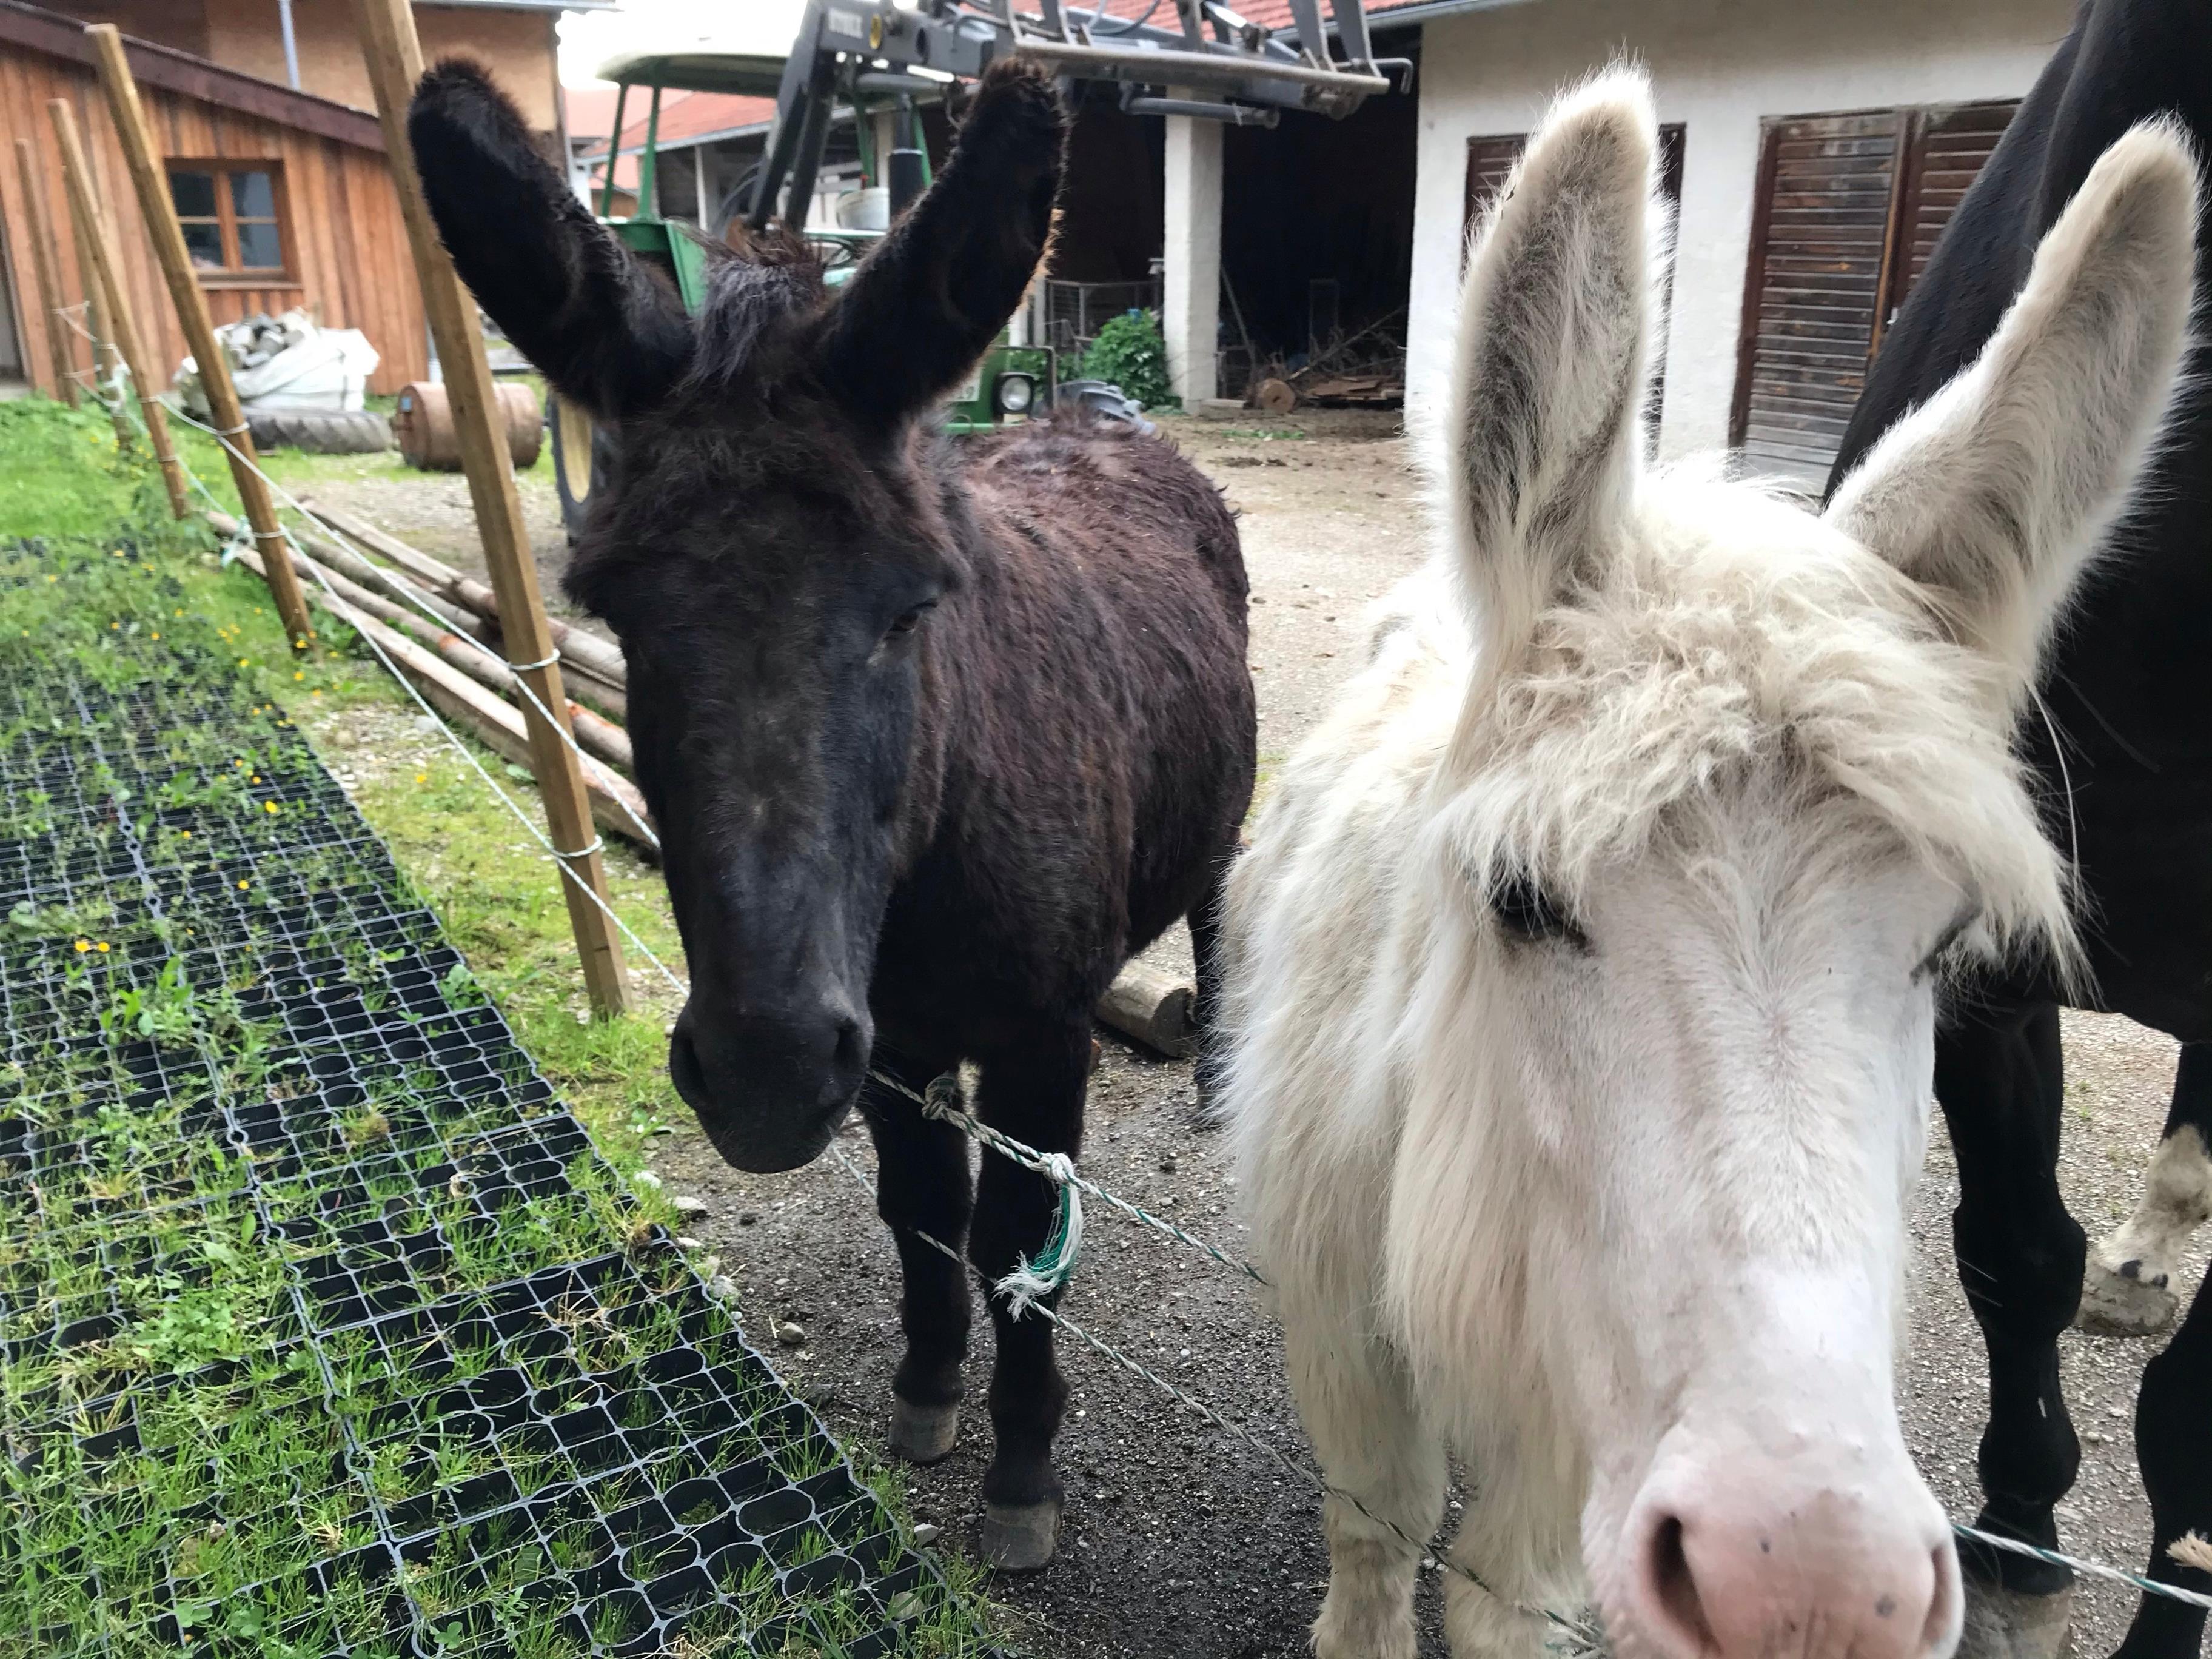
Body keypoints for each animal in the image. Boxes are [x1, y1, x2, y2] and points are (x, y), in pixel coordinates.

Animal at [406, 59, 1256, 1571]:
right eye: (610, 609)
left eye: (913, 608)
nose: (761, 1070)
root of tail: (1104, 418)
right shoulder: (892, 1043)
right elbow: (920, 1213)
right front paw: (927, 1388)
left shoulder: (1041, 1038)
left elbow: (1019, 1248)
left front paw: (1021, 1469)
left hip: (1217, 817)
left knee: (1217, 910)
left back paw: (1217, 1075)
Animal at [1220, 65, 2196, 1659]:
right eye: (1520, 903)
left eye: (1942, 950)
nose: (1810, 1589)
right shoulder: (1339, 1310)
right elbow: (1374, 1535)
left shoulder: (1571, 1414)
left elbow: (1501, 1598)